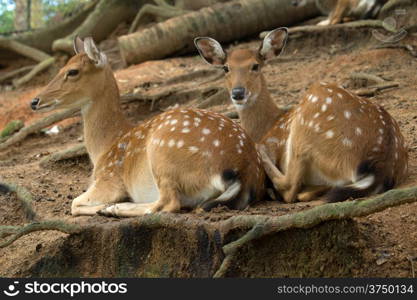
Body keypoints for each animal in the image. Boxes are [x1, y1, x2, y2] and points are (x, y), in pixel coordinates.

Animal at [31, 36, 264, 217]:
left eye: (72, 71)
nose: (34, 101)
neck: (104, 149)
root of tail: (242, 171)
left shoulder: (109, 179)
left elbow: (74, 203)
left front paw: (106, 206)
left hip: (163, 154)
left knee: (167, 203)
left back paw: (114, 208)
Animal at [194, 27, 406, 203]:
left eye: (255, 66)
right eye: (225, 68)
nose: (238, 93)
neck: (268, 124)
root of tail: (380, 165)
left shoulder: (276, 141)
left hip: (309, 122)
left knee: (290, 187)